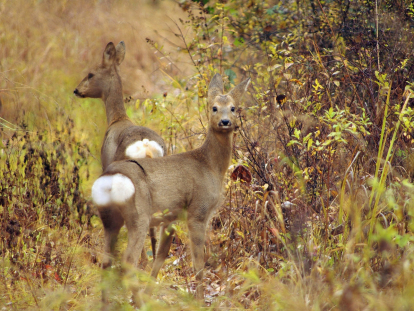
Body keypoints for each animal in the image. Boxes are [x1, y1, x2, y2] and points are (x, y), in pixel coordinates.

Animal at [91, 73, 249, 302]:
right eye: (214, 107)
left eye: (233, 107)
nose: (225, 122)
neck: (210, 165)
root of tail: (110, 179)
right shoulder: (197, 211)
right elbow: (199, 263)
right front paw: (199, 300)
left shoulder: (172, 216)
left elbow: (162, 255)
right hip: (138, 215)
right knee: (128, 261)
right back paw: (138, 303)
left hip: (110, 219)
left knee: (106, 261)